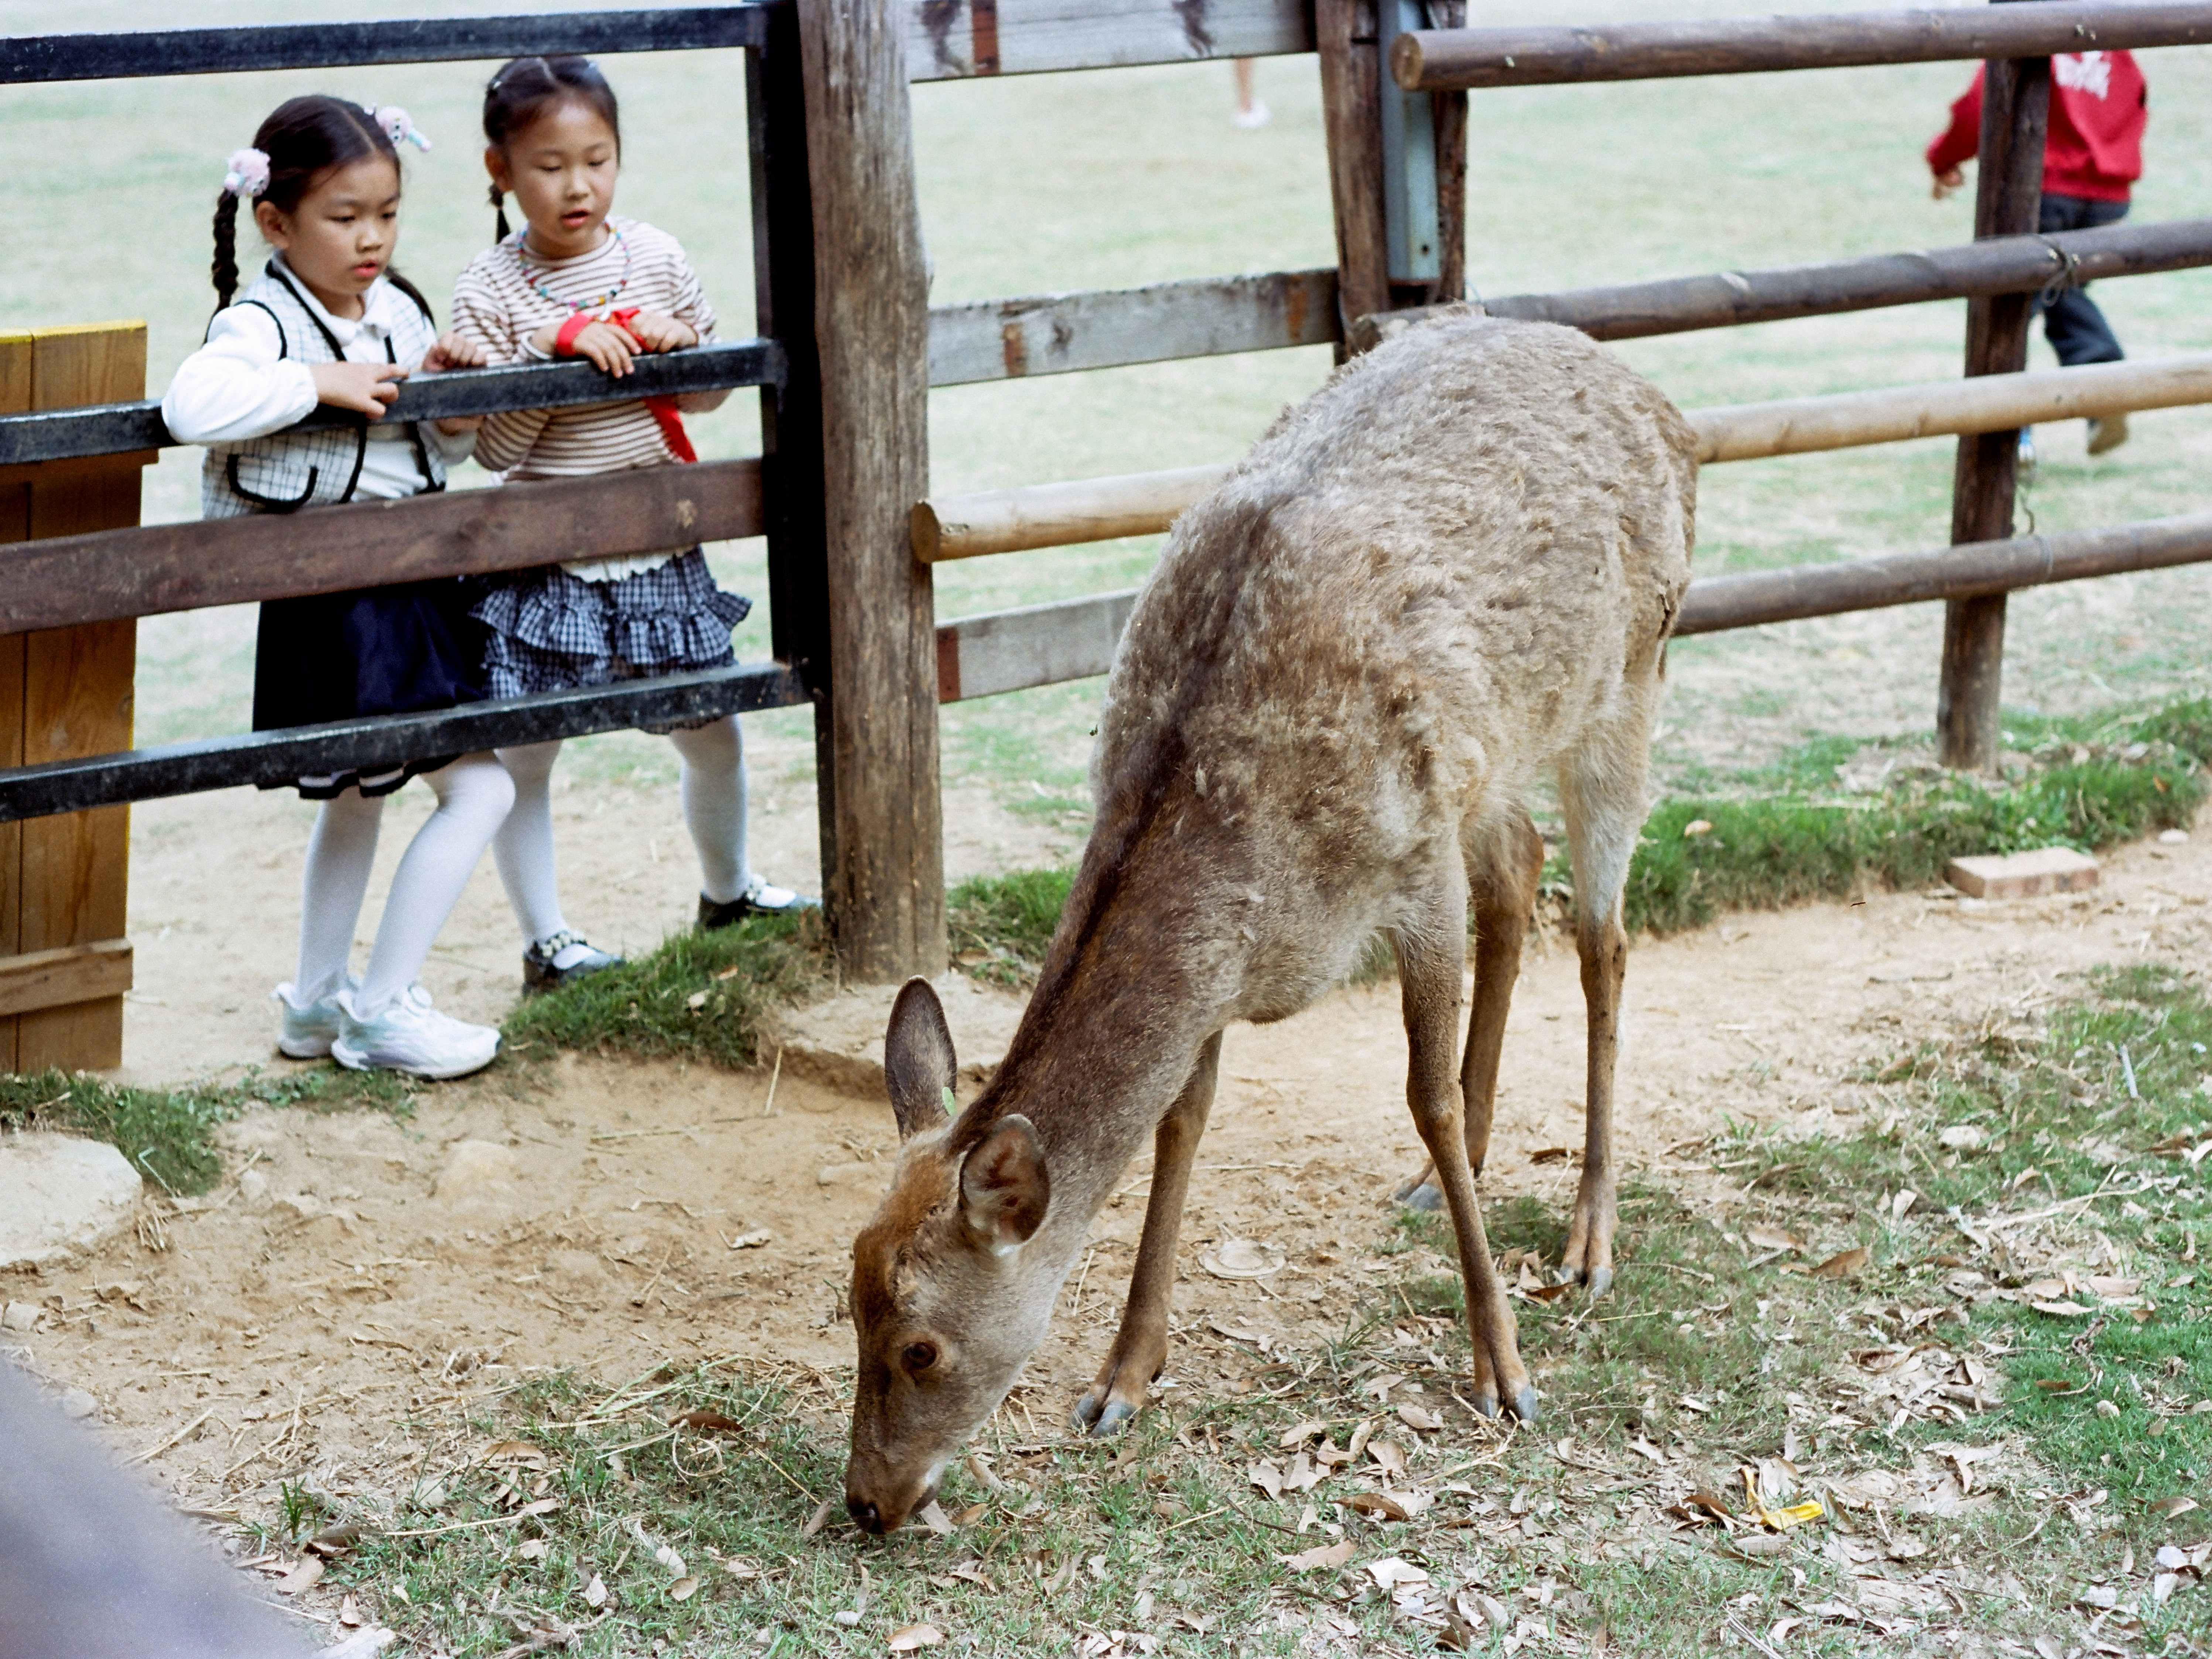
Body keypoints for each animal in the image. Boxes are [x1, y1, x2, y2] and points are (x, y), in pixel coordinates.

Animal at [842, 314, 1697, 1534]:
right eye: (846, 1304)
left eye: (919, 1345)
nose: (868, 1501)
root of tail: (1650, 396)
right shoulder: (1231, 963)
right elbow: (1181, 1117)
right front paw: (1121, 1377)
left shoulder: (1411, 859)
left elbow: (1424, 1094)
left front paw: (1503, 1369)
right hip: (1493, 753)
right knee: (1519, 870)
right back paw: (1446, 1182)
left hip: (1627, 678)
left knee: (1603, 939)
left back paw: (1587, 1237)